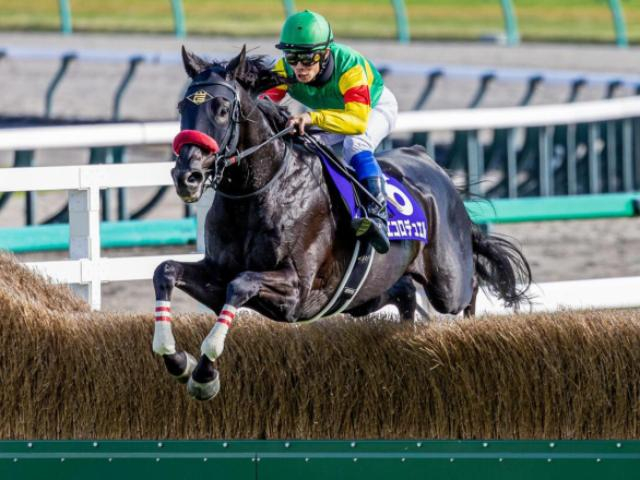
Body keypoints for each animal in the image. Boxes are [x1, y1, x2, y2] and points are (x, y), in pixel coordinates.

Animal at [152, 46, 532, 401]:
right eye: (182, 107)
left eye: (221, 109)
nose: (187, 176)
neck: (262, 189)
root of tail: (429, 162)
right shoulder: (217, 273)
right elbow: (166, 271)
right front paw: (178, 360)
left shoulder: (297, 292)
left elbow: (241, 283)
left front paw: (204, 374)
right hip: (366, 296)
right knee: (406, 291)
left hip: (447, 280)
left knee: (468, 287)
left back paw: (470, 332)